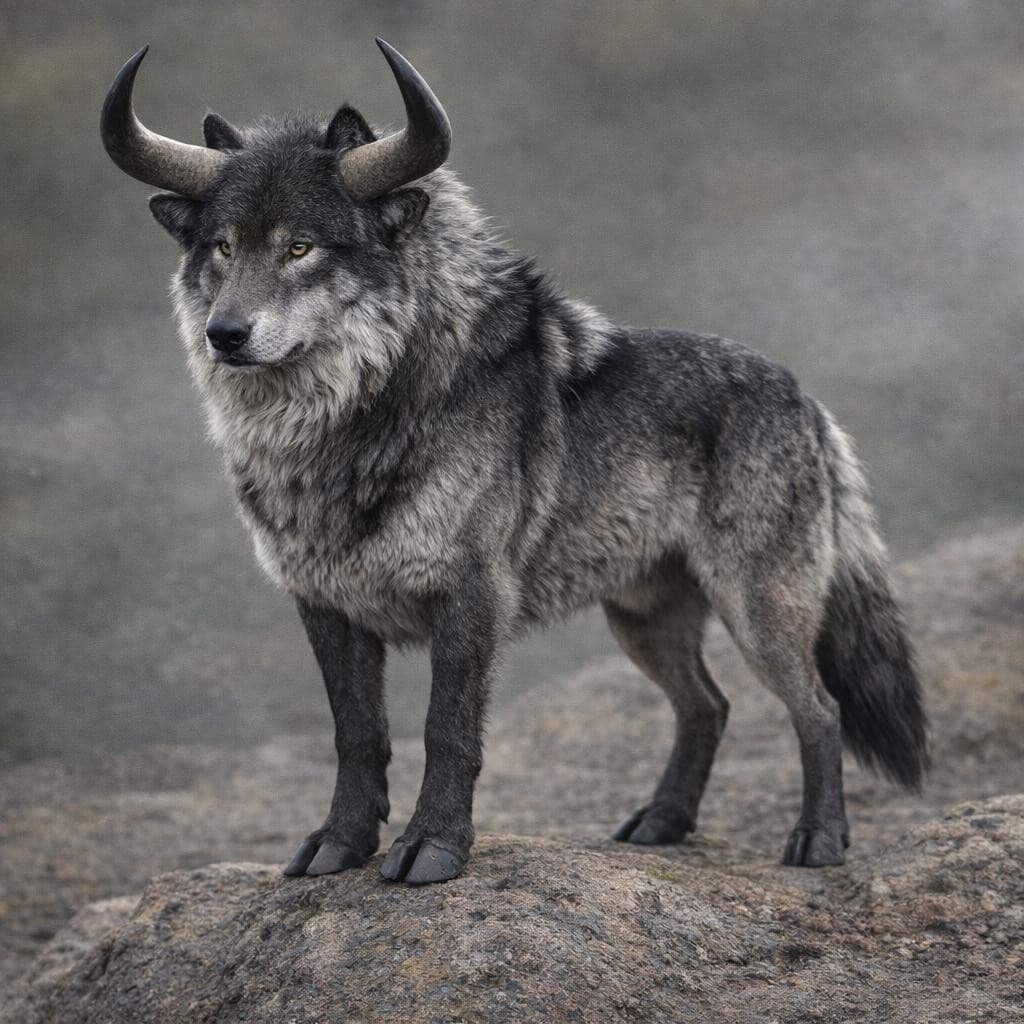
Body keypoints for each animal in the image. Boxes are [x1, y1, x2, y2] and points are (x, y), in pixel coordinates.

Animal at [101, 39, 927, 885]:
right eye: (223, 246)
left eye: (300, 247)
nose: (225, 334)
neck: (352, 428)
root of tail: (807, 398)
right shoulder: (325, 606)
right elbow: (357, 736)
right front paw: (338, 845)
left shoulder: (472, 596)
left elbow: (447, 732)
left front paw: (431, 850)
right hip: (641, 619)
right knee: (709, 705)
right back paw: (661, 824)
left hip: (758, 610)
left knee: (818, 708)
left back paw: (818, 841)